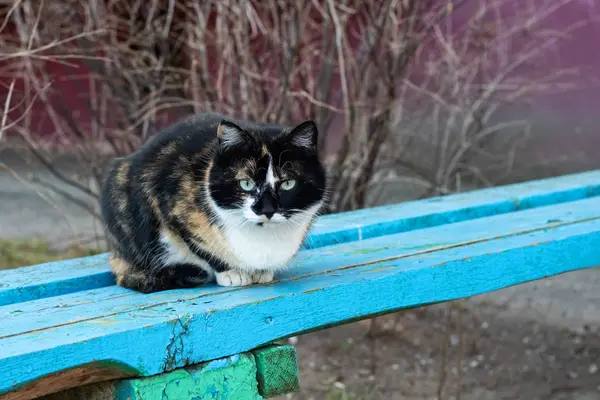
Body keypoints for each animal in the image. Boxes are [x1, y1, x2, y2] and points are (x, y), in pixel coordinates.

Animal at [101, 112, 330, 294]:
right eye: (246, 183)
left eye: (288, 183)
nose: (267, 210)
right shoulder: (172, 209)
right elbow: (203, 248)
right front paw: (231, 272)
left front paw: (262, 272)